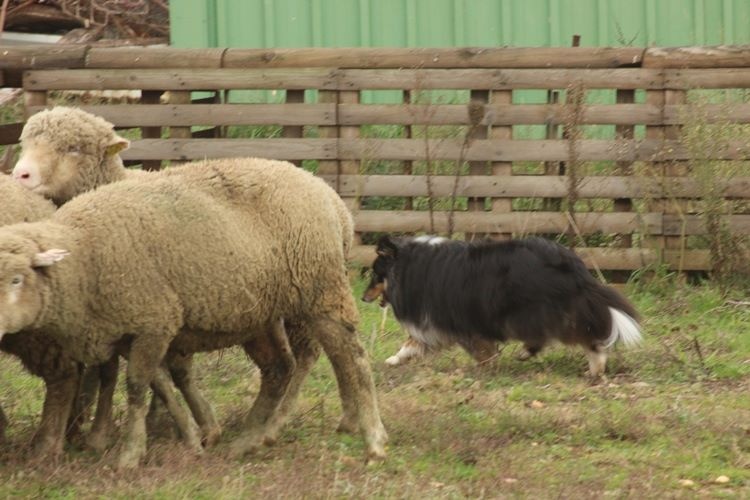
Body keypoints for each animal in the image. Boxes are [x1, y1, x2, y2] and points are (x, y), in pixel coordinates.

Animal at [0, 159, 388, 468]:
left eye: (17, 279)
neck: (83, 253)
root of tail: (331, 197)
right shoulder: (131, 330)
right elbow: (160, 383)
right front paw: (194, 438)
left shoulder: (155, 321)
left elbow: (137, 387)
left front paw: (130, 455)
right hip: (258, 313)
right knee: (279, 369)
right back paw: (248, 440)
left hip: (320, 290)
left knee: (351, 359)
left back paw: (373, 441)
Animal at [362, 236, 644, 376]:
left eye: (375, 274)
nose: (363, 298)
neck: (409, 266)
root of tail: (573, 265)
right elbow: (413, 343)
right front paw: (394, 360)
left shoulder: (452, 319)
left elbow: (478, 349)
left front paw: (487, 365)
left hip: (531, 309)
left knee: (561, 335)